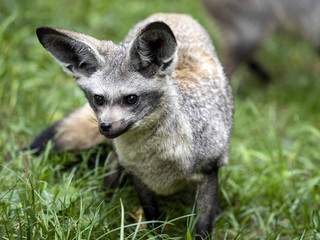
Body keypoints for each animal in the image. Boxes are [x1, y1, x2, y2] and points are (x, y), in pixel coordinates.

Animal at [26, 13, 232, 240]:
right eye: (98, 99)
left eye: (131, 99)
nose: (105, 126)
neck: (157, 161)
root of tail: (172, 14)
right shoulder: (138, 175)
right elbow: (151, 214)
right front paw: (155, 235)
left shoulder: (208, 169)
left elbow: (203, 224)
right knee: (111, 164)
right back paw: (106, 199)